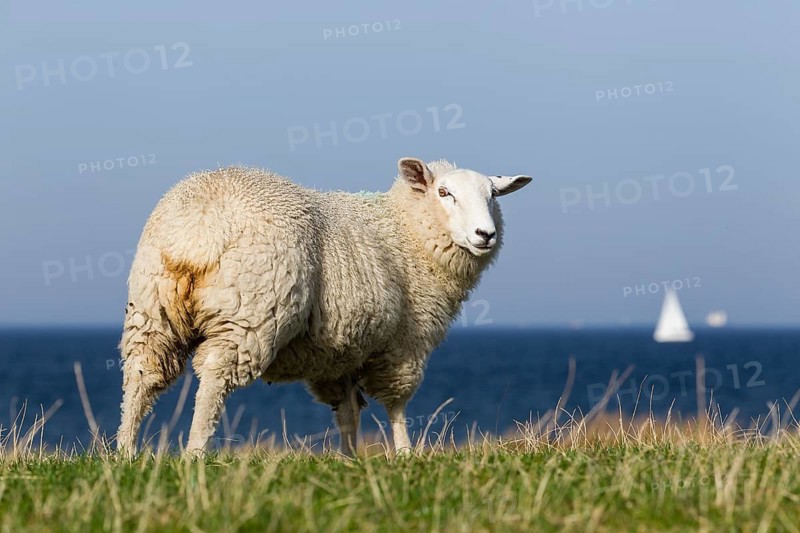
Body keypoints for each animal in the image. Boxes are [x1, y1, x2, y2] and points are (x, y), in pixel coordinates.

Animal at [116, 157, 531, 456]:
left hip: (153, 309)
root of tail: (199, 227)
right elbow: (396, 407)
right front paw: (405, 457)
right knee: (214, 378)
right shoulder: (404, 345)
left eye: (493, 196)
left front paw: (350, 462)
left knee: (142, 374)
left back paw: (124, 455)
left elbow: (347, 412)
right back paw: (195, 455)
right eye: (444, 192)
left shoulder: (341, 353)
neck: (404, 231)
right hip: (248, 314)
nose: (485, 234)